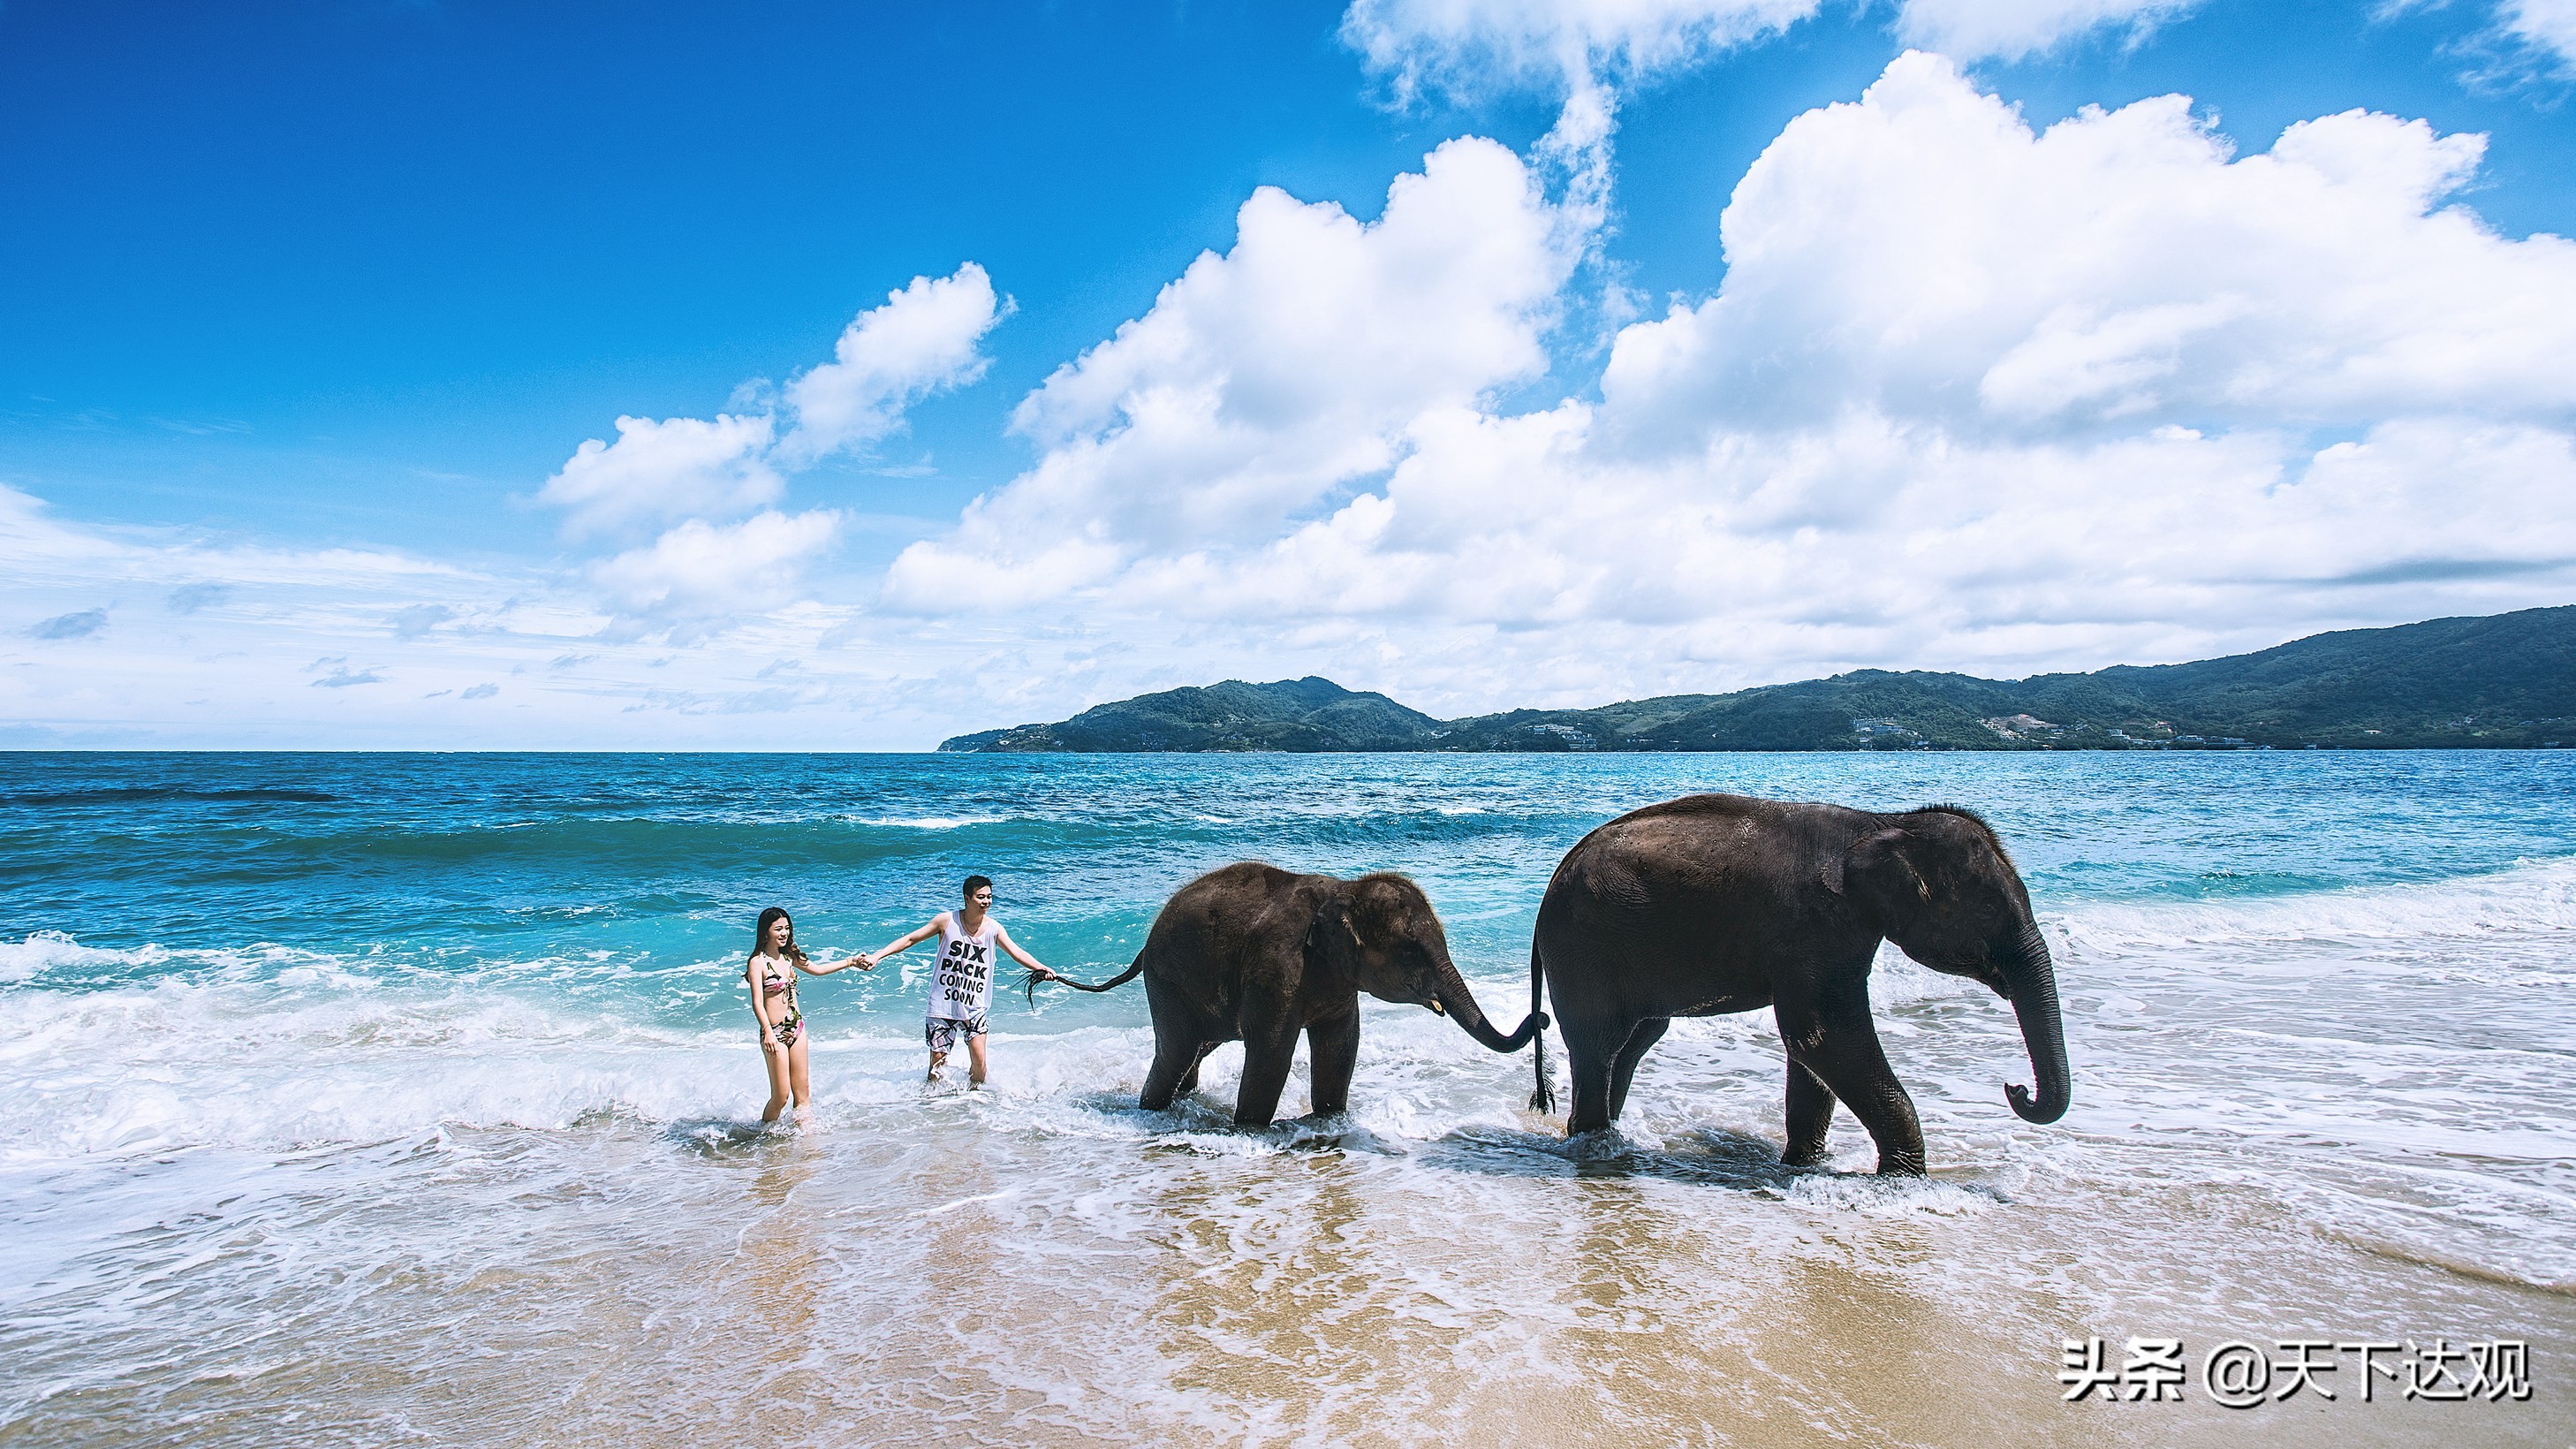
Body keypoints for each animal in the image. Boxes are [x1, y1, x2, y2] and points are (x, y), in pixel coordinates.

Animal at [1050, 861, 1545, 1124]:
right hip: (1168, 980)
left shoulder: (1339, 985)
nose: (1540, 1016)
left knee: (1198, 1048)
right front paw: (1250, 1129)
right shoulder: (1276, 968)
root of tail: (1144, 945)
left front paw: (1328, 1119)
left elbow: (1341, 1046)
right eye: (1410, 952)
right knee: (1176, 1048)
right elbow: (1272, 1048)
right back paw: (1152, 1111)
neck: (1344, 890)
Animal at [1525, 788, 2071, 1175]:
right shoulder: (1814, 927)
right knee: (1600, 1042)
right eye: (1988, 908)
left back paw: (1604, 1137)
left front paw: (1805, 1166)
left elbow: (1812, 1050)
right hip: (1583, 947)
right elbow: (1821, 1035)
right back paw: (1596, 1144)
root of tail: (1553, 882)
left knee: (1636, 1040)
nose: (2015, 1088)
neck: (1885, 823)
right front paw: (1904, 1179)